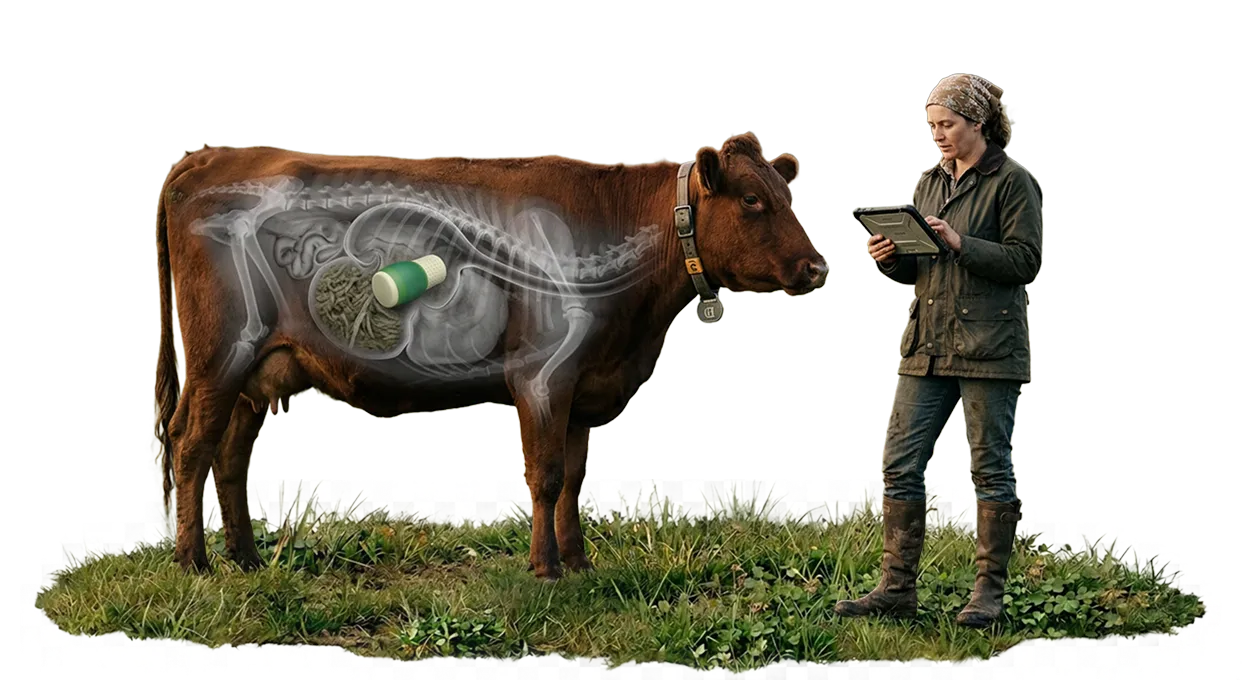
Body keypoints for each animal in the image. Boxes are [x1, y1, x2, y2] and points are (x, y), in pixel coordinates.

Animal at [150, 133, 826, 581]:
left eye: (783, 192)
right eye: (750, 199)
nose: (816, 266)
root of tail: (212, 155)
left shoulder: (583, 387)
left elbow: (574, 478)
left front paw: (579, 563)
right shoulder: (543, 377)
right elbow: (545, 476)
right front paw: (545, 570)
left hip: (258, 369)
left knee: (230, 456)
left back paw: (244, 558)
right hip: (219, 354)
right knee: (190, 443)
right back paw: (192, 563)